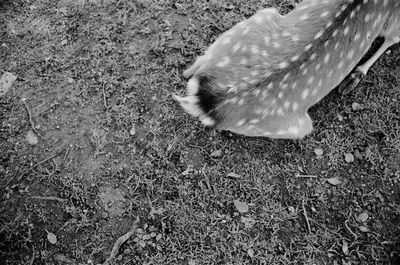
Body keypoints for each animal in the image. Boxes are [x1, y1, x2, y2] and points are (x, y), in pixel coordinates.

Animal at [173, 0, 400, 139]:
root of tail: (206, 101)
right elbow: (392, 37)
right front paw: (355, 75)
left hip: (250, 25)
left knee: (198, 62)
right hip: (298, 126)